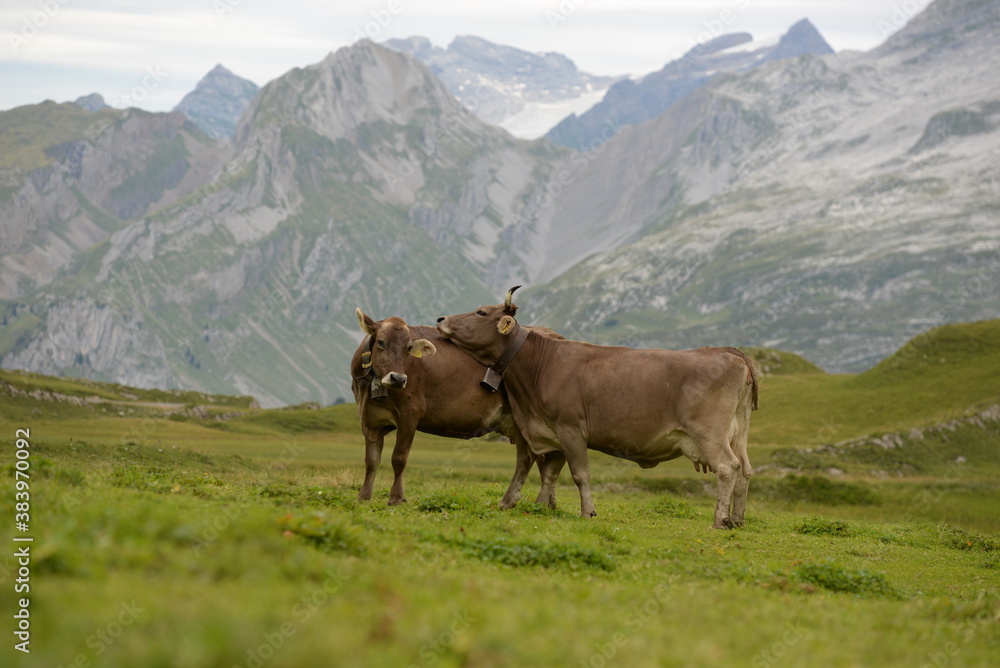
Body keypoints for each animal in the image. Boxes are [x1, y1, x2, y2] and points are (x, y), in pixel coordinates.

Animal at [352, 310, 564, 508]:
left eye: (409, 348)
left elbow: (399, 458)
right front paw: (363, 497)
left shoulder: (410, 413)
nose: (398, 378)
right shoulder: (369, 419)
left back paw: (519, 501)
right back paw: (547, 503)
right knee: (546, 460)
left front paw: (396, 498)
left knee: (530, 458)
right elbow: (371, 461)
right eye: (381, 342)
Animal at [436, 290, 756, 528]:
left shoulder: (571, 429)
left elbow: (580, 473)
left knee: (727, 467)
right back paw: (738, 519)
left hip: (709, 432)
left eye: (480, 312)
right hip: (739, 432)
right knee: (745, 470)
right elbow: (549, 473)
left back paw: (720, 520)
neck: (541, 364)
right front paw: (540, 507)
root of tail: (731, 353)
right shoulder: (549, 431)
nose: (441, 318)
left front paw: (587, 511)